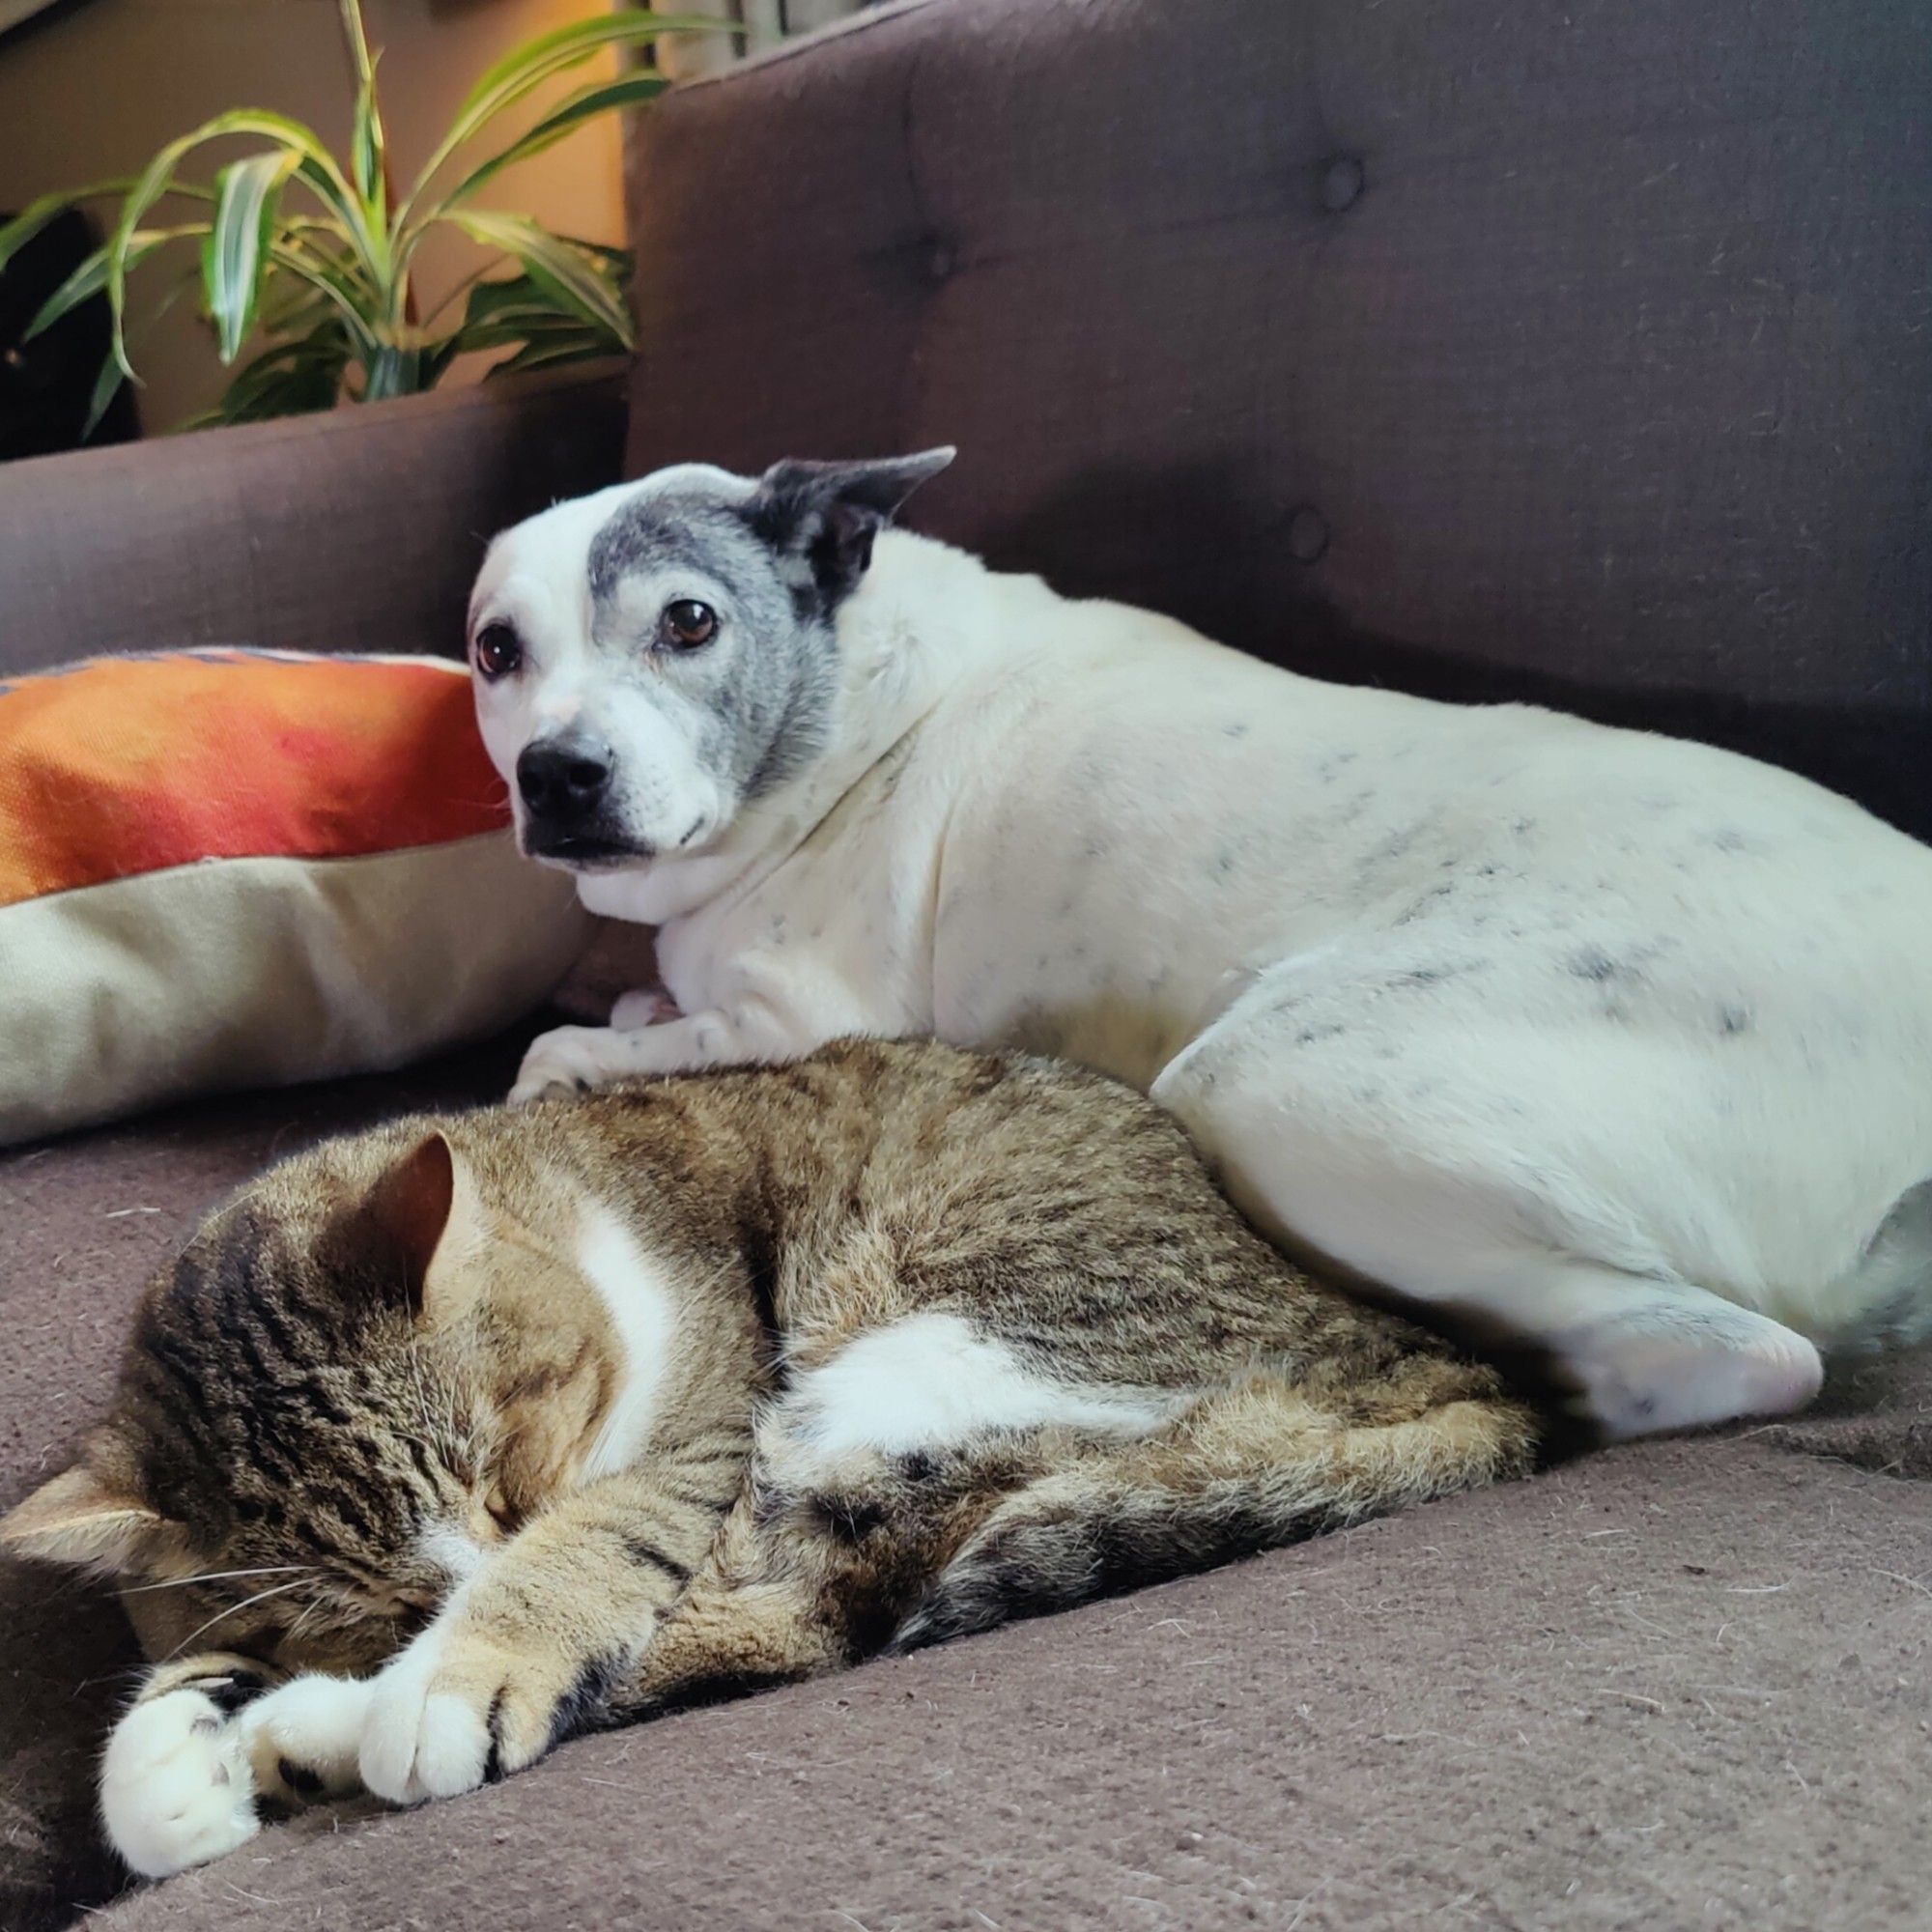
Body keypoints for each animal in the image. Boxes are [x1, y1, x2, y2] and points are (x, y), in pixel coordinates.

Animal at [0, 1043, 1538, 1870]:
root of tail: (1442, 1363)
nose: (441, 1604)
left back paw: (325, 1733)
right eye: (358, 1597)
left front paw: (446, 1674)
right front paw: (174, 1761)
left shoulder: (704, 1423)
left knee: (809, 1607)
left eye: (513, 1468)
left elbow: (605, 1548)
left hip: (929, 1352)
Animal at [468, 452, 1932, 1445]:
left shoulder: (803, 1015)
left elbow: (561, 1048)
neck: (848, 706)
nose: (558, 776)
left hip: (1278, 1087)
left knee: (1753, 1354)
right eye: (494, 651)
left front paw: (591, 1044)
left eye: (689, 622)